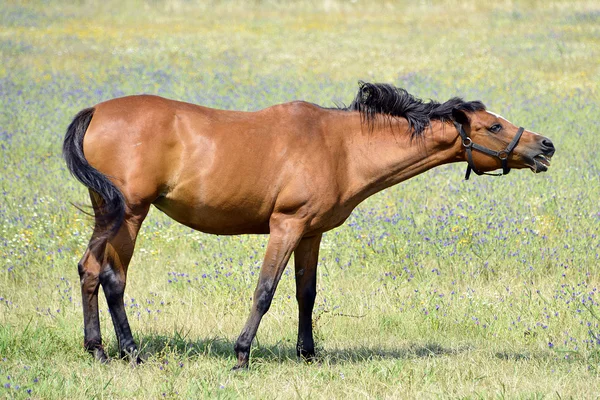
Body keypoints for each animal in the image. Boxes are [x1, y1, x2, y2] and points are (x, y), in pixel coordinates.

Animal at [63, 81, 556, 368]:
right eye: (493, 126)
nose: (546, 147)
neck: (341, 146)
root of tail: (97, 110)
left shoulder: (311, 233)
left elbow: (306, 294)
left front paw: (308, 354)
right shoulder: (287, 226)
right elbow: (265, 291)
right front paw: (241, 356)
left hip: (108, 213)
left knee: (89, 271)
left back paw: (97, 350)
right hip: (130, 214)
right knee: (112, 278)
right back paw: (130, 353)